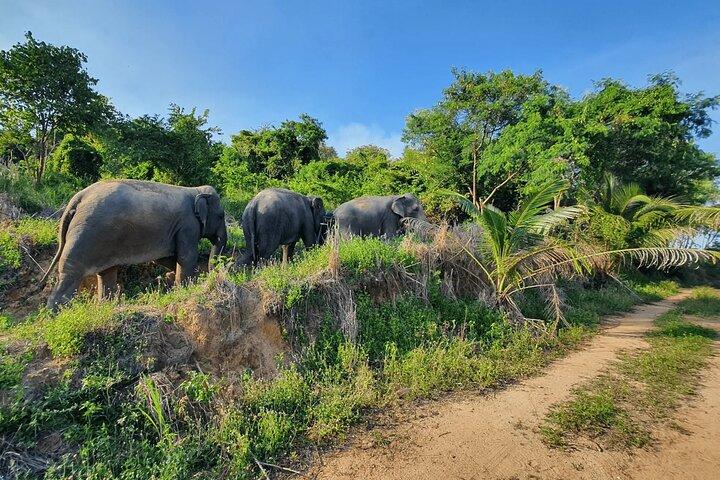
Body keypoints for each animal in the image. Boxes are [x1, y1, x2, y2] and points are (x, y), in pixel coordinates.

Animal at [42, 179, 227, 310]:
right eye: (221, 216)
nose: (212, 275)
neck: (195, 190)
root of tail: (78, 197)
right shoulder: (188, 225)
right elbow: (186, 257)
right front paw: (187, 287)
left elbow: (165, 257)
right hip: (86, 234)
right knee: (71, 272)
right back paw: (54, 314)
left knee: (106, 272)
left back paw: (106, 306)